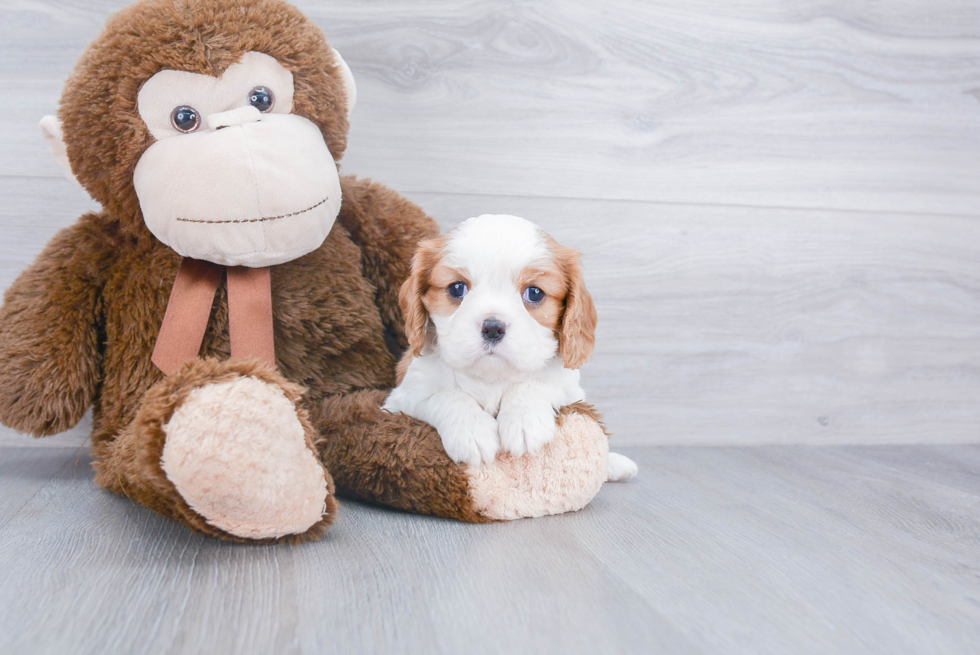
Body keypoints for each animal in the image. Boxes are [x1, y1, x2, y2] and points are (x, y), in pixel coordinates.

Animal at [382, 215, 636, 482]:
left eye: (534, 293)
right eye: (456, 288)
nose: (493, 328)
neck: (492, 377)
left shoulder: (569, 388)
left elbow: (535, 383)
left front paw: (524, 420)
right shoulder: (400, 399)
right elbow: (445, 395)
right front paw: (472, 430)